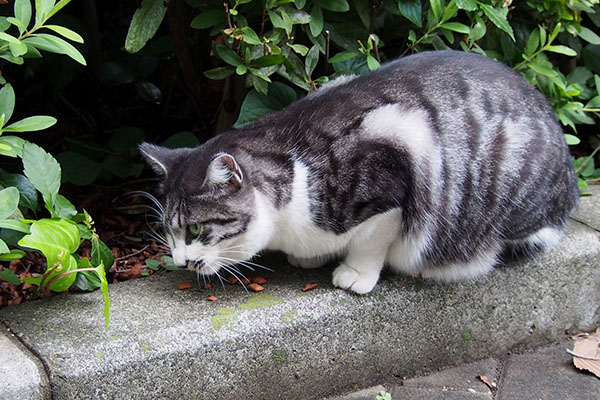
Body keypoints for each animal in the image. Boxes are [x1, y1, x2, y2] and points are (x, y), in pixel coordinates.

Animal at [141, 50, 580, 294]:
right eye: (166, 231)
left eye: (196, 230)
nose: (179, 261)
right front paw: (312, 257)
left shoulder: (396, 162)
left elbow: (372, 240)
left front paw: (354, 274)